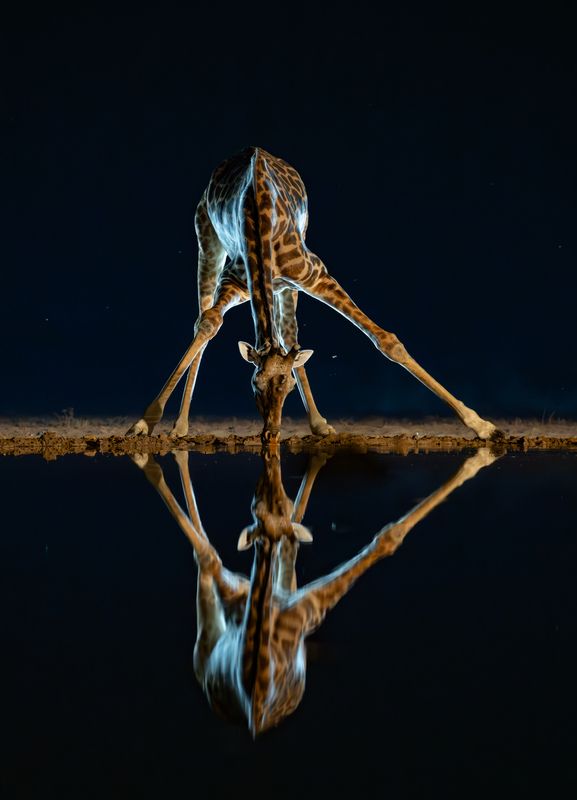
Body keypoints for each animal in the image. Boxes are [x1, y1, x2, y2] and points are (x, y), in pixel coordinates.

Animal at [127, 146, 501, 444]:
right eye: (254, 384)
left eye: (288, 388)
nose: (271, 434)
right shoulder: (233, 279)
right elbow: (208, 325)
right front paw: (144, 424)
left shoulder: (317, 276)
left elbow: (386, 341)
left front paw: (483, 426)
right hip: (207, 242)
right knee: (205, 320)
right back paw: (181, 425)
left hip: (289, 286)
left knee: (290, 336)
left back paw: (319, 425)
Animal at [132, 446, 498, 735]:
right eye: (257, 516)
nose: (272, 497)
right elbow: (207, 555)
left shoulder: (298, 601)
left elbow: (385, 538)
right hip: (215, 626)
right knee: (209, 567)